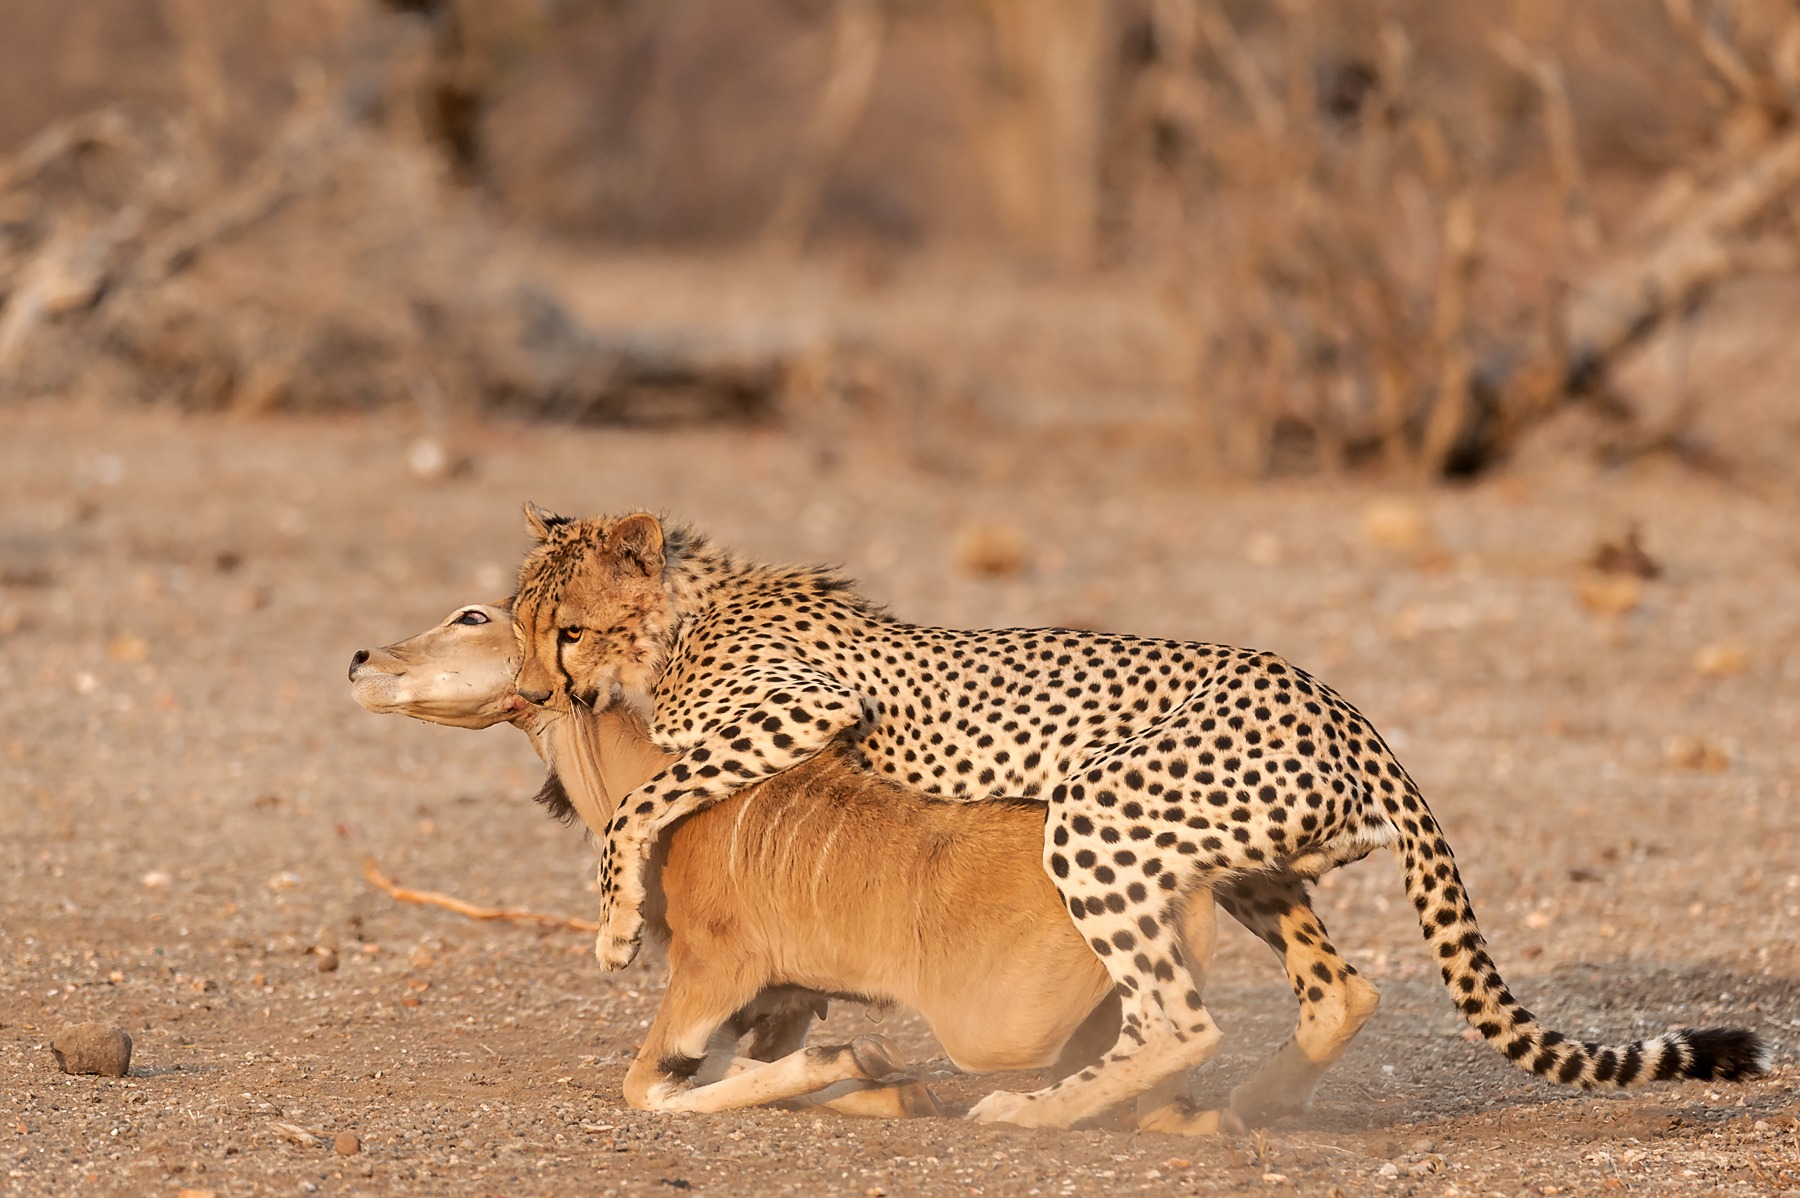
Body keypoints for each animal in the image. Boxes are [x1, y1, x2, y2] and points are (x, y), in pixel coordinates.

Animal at [510, 504, 1767, 1129]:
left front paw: (614, 920)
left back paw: (1037, 1114)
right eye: (515, 623)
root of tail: (1350, 712)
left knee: (1180, 1014)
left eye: (563, 627)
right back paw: (1250, 1104)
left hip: (1096, 808)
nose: (532, 688)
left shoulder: (805, 708)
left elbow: (648, 797)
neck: (686, 608)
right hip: (1240, 856)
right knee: (1338, 988)